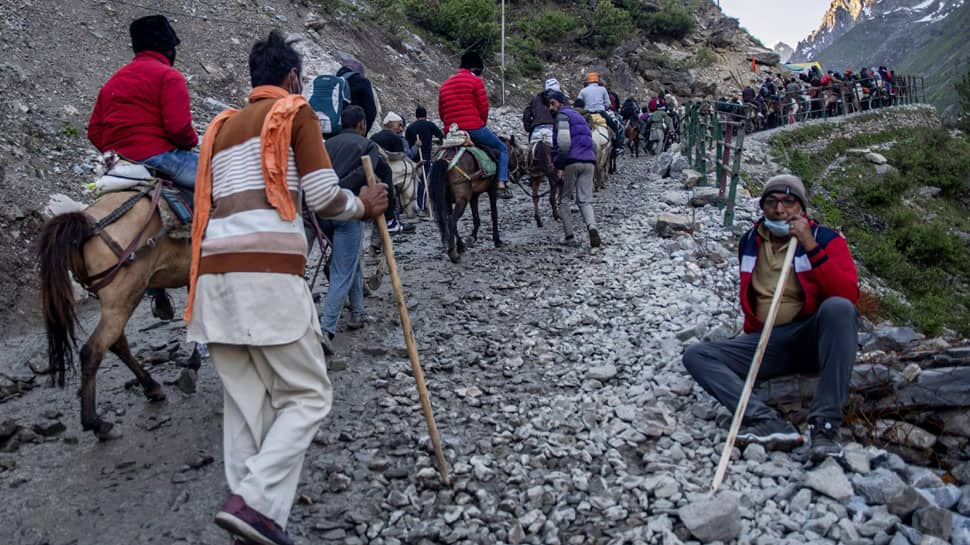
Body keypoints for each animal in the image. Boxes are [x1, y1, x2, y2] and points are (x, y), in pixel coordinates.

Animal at [38, 189, 193, 440]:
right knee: (94, 350)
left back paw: (151, 387)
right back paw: (96, 423)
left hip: (117, 301)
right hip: (123, 297)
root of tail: (86, 225)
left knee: (117, 342)